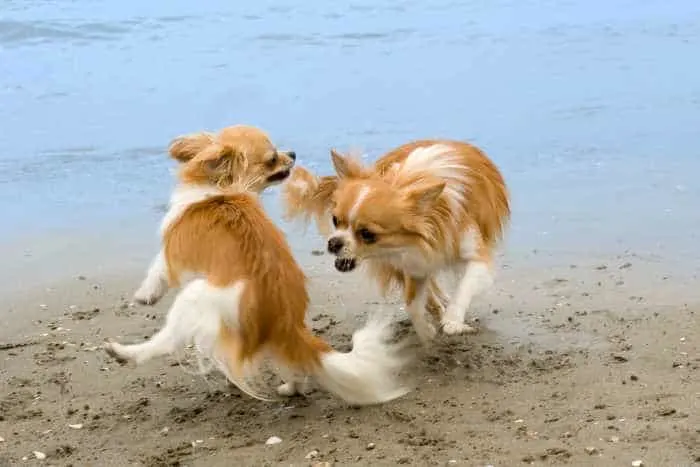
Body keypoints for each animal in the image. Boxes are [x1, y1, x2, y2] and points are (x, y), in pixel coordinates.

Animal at [133, 124, 296, 308]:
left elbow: (157, 270)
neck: (221, 190)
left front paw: (145, 294)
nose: (293, 153)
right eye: (272, 159)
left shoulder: (171, 246)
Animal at [284, 139, 508, 344]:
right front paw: (426, 330)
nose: (333, 243)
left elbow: (464, 287)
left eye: (367, 234)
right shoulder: (412, 263)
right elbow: (412, 304)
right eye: (335, 220)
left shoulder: (476, 258)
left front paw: (452, 321)